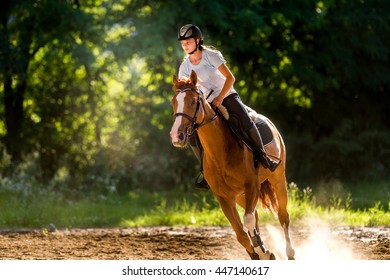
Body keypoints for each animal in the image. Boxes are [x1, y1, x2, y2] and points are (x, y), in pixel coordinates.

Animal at [169, 70, 294, 260]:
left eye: (192, 101)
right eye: (173, 102)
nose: (177, 136)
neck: (220, 153)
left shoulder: (252, 186)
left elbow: (247, 222)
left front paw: (262, 251)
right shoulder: (224, 197)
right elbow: (241, 234)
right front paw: (261, 253)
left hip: (277, 179)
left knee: (282, 215)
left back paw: (290, 253)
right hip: (241, 195)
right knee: (256, 216)